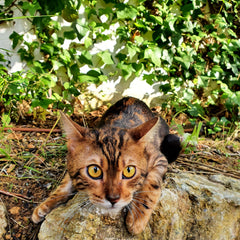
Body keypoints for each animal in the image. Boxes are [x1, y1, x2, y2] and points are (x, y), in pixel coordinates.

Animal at [32, 96, 182, 234]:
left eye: (129, 170)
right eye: (94, 170)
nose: (113, 199)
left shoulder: (159, 159)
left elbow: (151, 186)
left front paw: (137, 218)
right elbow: (64, 185)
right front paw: (45, 205)